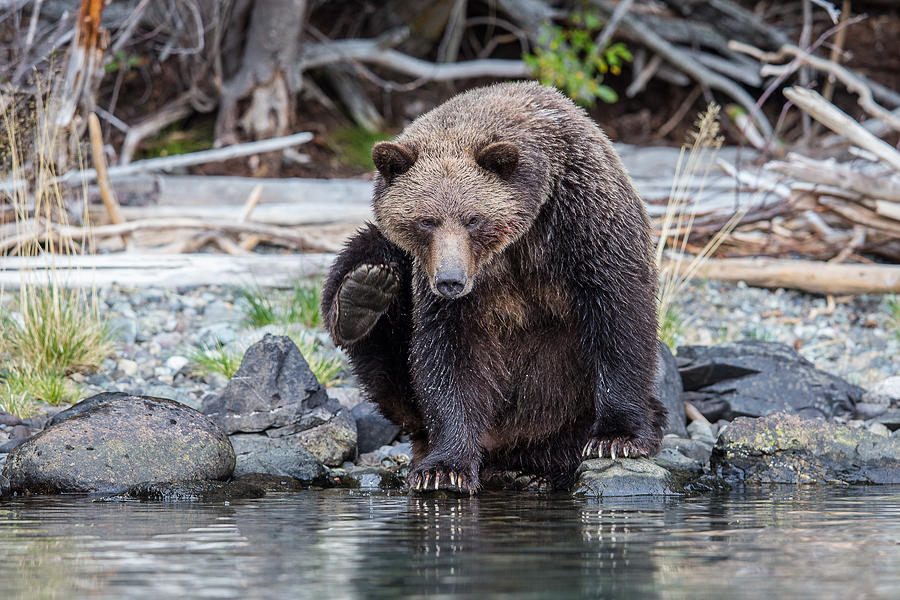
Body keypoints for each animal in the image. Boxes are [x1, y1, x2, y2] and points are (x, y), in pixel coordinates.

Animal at [320, 81, 664, 492]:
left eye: (473, 219)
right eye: (426, 221)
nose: (450, 280)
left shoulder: (582, 224)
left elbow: (618, 313)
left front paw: (615, 437)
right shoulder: (451, 287)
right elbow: (449, 355)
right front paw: (444, 468)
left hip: (562, 413)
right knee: (368, 260)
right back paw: (361, 295)